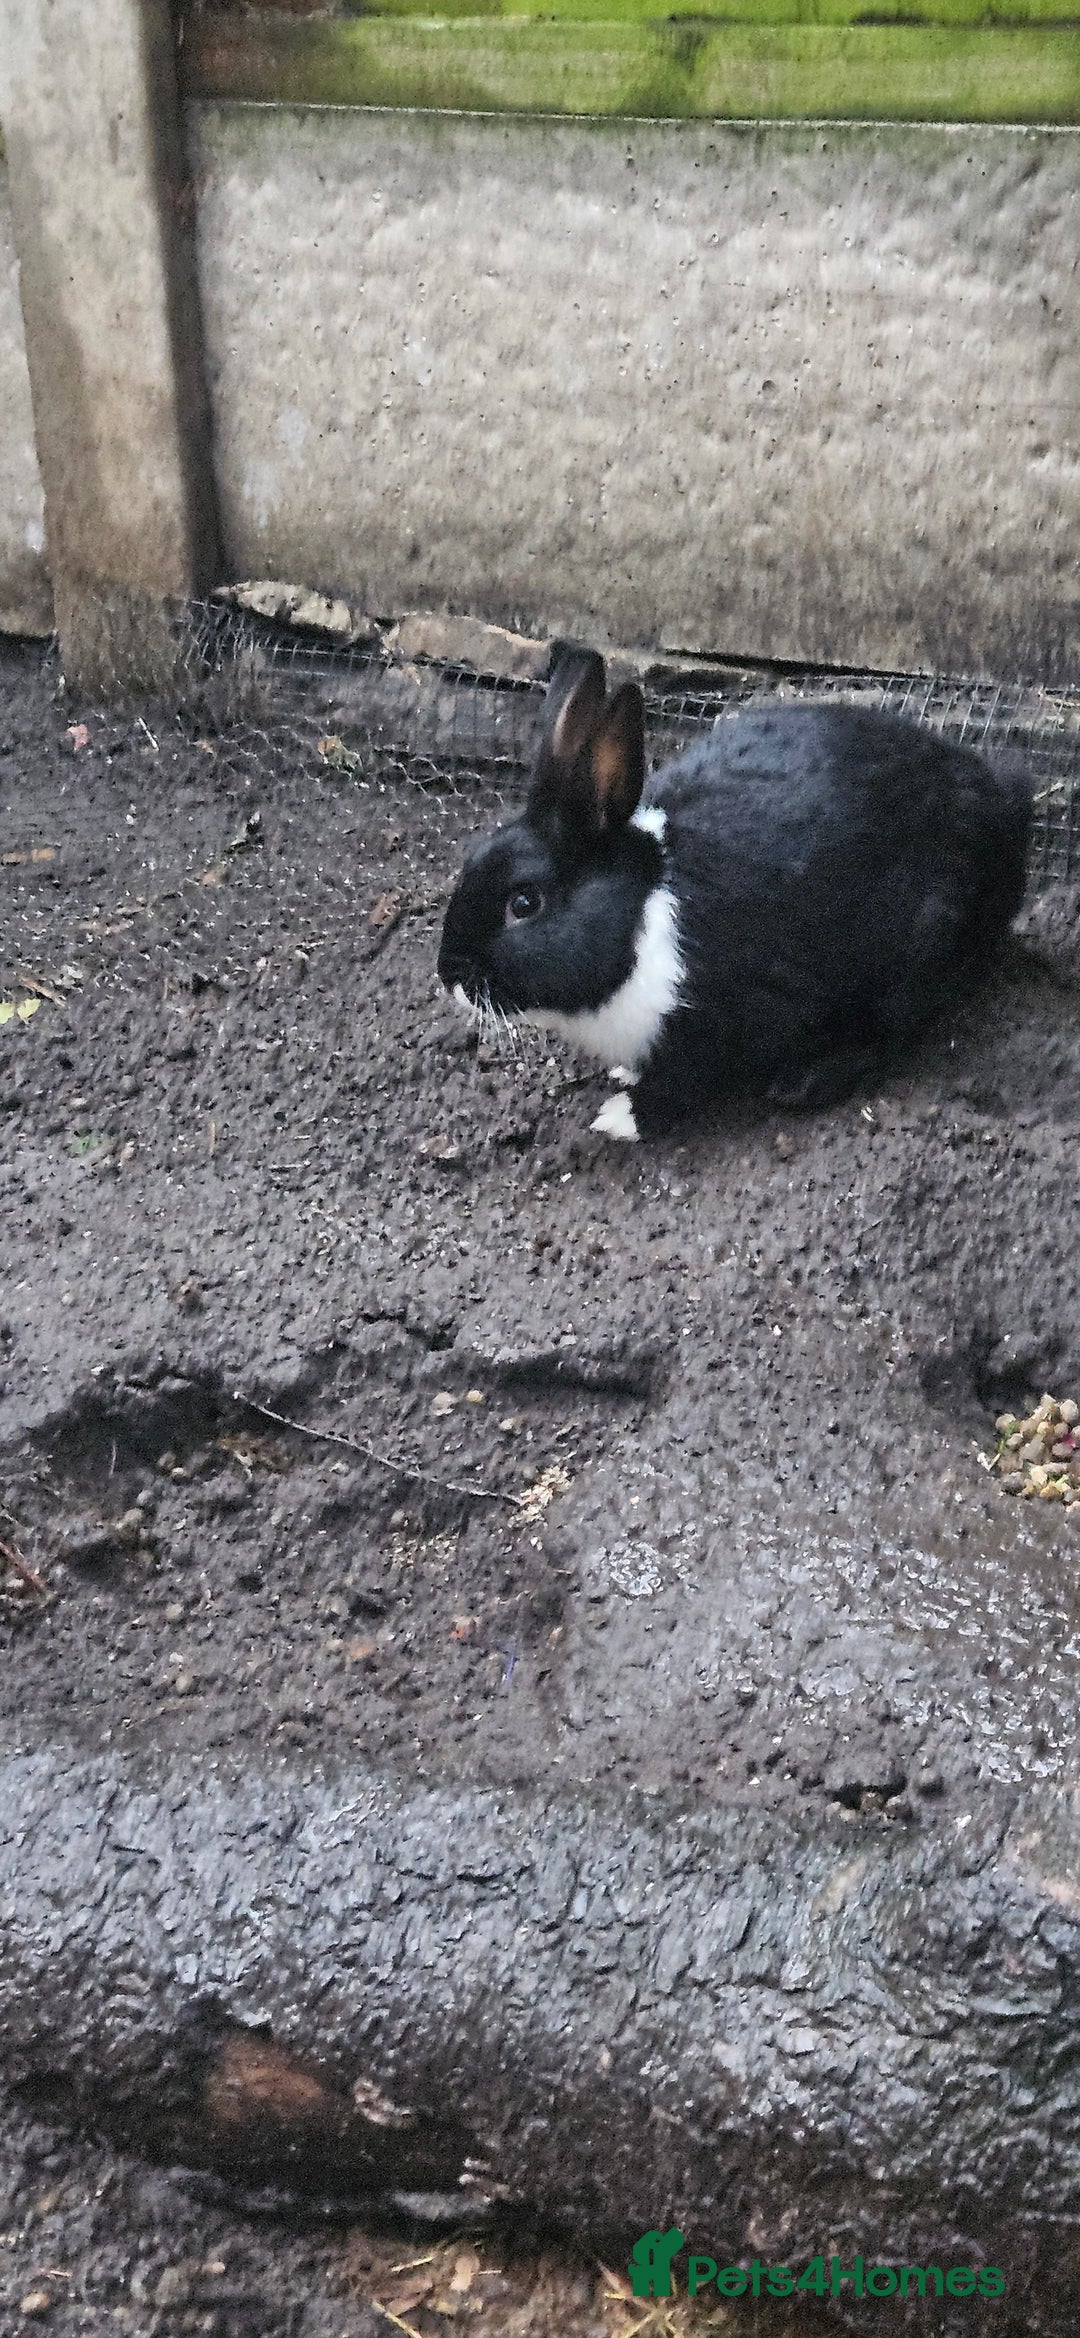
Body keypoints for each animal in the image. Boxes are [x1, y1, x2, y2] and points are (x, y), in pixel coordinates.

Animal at [437, 646, 1032, 1140]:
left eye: (524, 904)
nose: (449, 976)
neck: (638, 914)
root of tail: (1006, 813)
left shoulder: (719, 1027)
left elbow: (683, 1085)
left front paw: (620, 1117)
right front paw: (624, 1073)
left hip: (921, 947)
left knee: (894, 1030)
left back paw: (804, 1082)